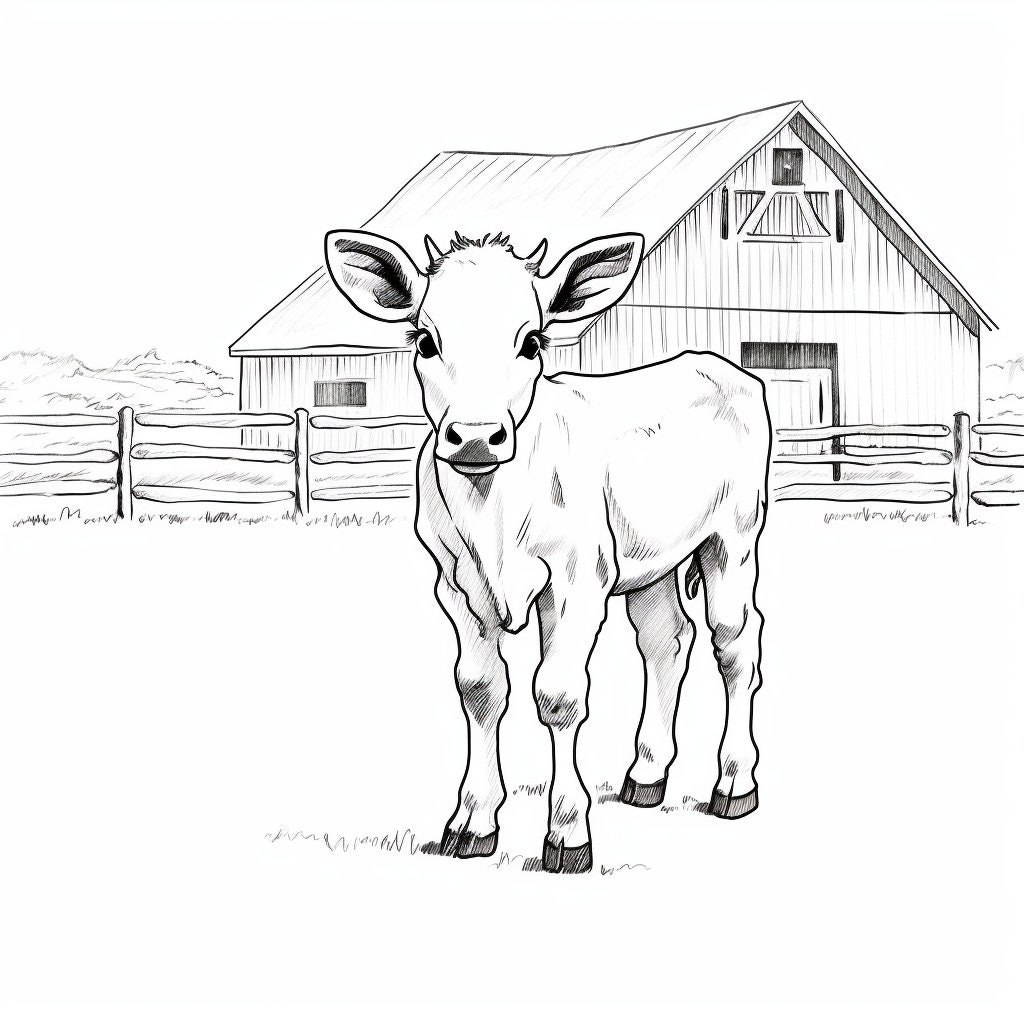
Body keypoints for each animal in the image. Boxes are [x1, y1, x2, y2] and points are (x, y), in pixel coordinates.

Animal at [324, 228, 770, 873]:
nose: (476, 436)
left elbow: (557, 695)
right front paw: (473, 822)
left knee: (735, 644)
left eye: (532, 341)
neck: (493, 514)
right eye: (426, 340)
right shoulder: (455, 583)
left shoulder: (577, 577)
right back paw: (646, 776)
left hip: (732, 537)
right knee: (666, 640)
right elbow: (480, 690)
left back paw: (733, 784)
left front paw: (566, 832)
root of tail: (711, 362)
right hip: (650, 561)